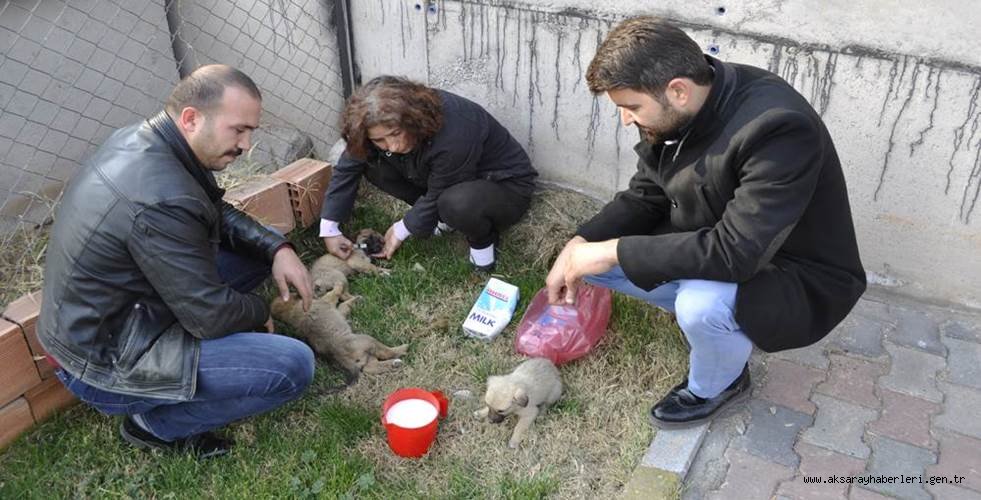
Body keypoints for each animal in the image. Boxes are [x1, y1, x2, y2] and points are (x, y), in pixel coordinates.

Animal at [268, 286, 406, 382]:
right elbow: (336, 294)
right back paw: (402, 349)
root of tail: (343, 357)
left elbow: (344, 304)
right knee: (386, 352)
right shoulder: (328, 300)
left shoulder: (337, 309)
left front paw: (356, 299)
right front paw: (342, 288)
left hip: (367, 357)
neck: (290, 310)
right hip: (368, 341)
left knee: (372, 367)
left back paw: (395, 364)